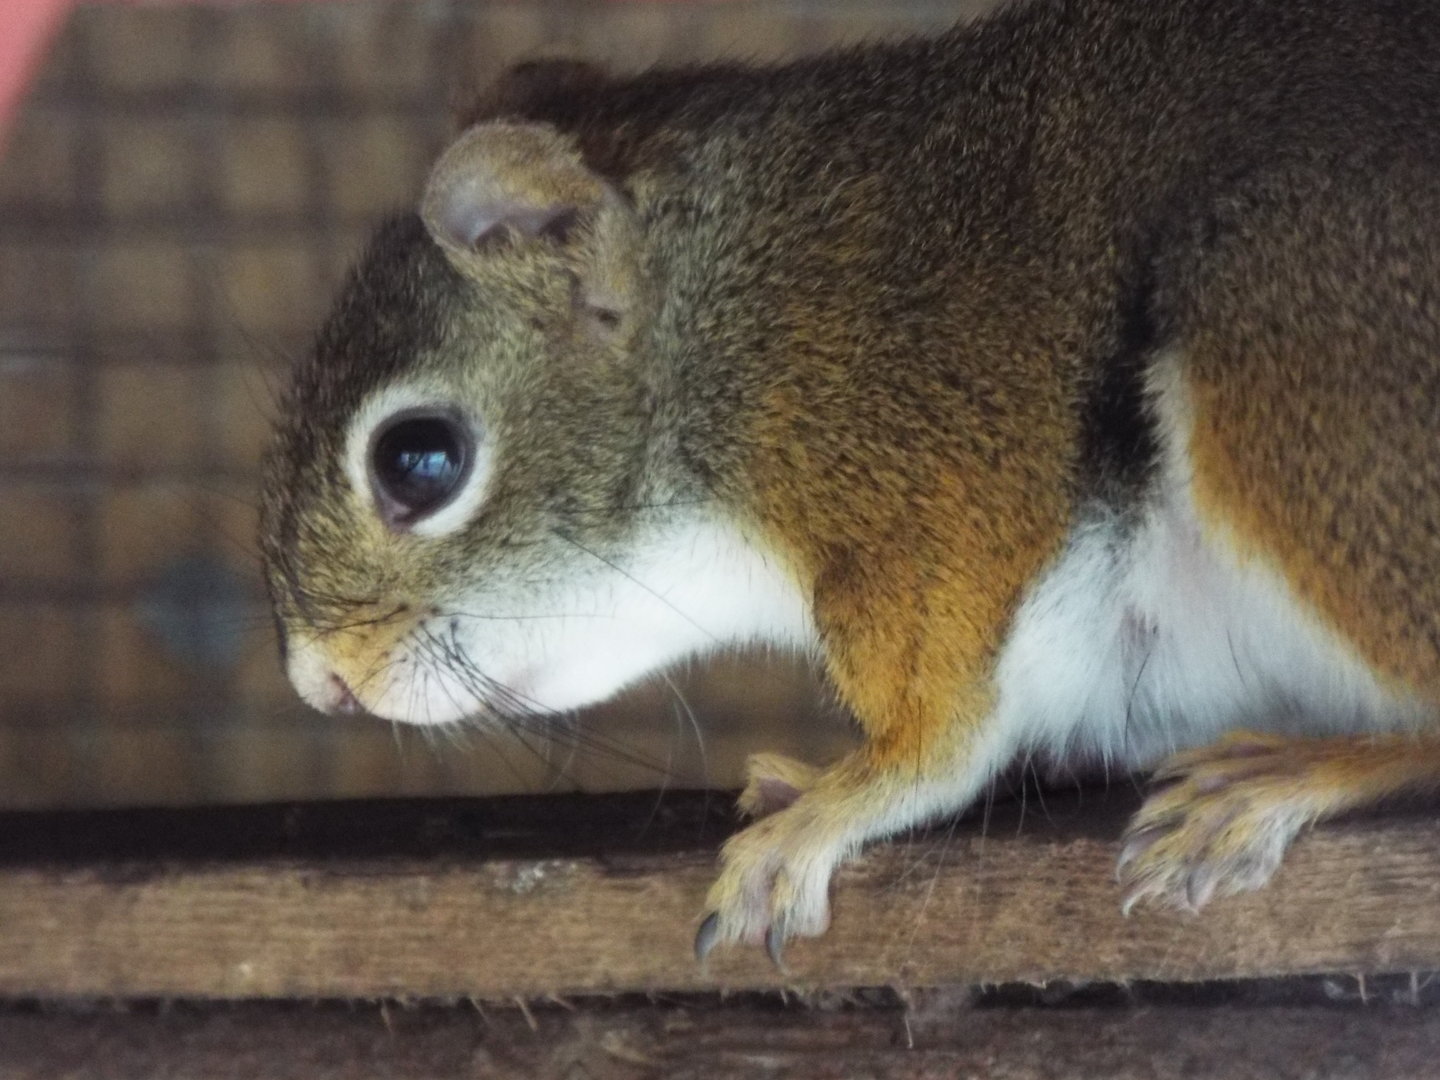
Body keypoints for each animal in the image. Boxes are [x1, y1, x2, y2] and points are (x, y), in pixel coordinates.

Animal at [260, 0, 1440, 962]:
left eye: (418, 460)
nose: (319, 683)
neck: (728, 326)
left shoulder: (927, 473)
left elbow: (944, 732)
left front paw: (832, 807)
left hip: (1281, 334)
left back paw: (1283, 778)